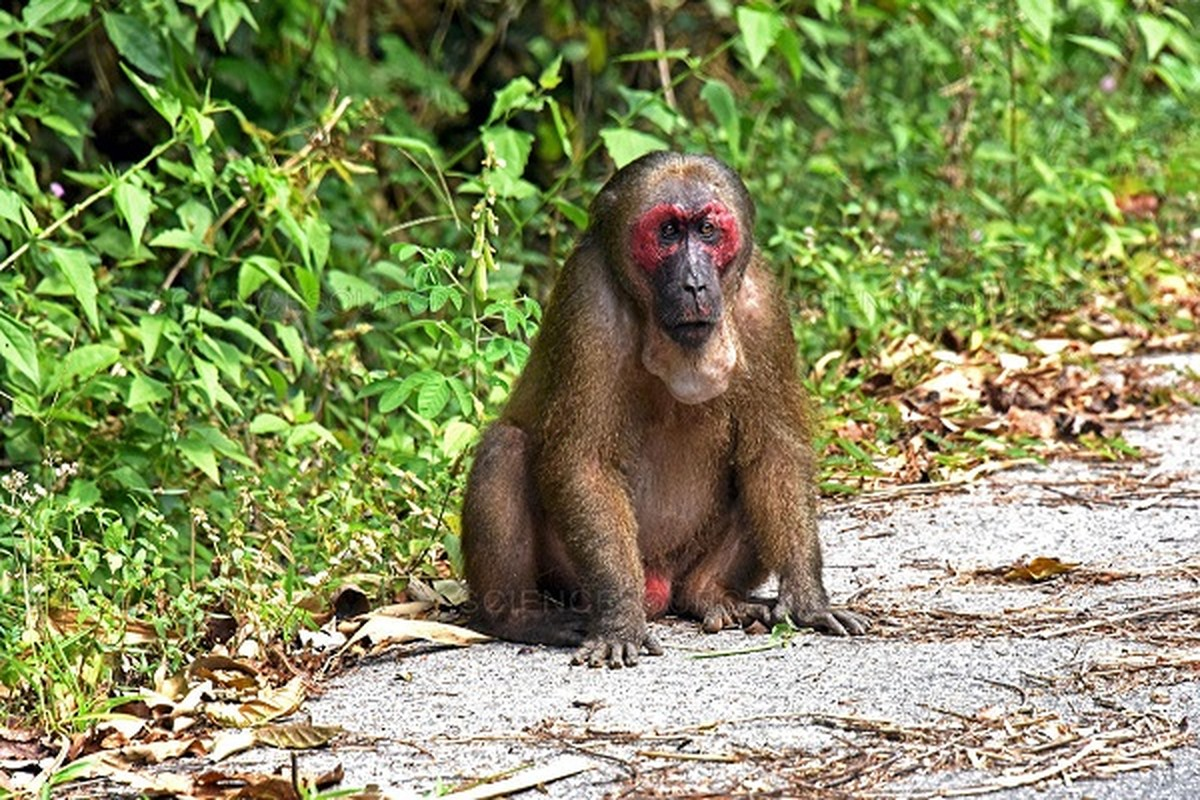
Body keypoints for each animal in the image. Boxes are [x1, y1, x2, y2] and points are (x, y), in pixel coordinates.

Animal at [458, 149, 864, 671]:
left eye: (707, 231)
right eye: (668, 232)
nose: (693, 284)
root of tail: (660, 586)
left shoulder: (763, 303)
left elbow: (775, 453)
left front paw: (809, 599)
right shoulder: (588, 301)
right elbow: (584, 462)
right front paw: (620, 620)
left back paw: (708, 593)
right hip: (571, 576)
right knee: (505, 447)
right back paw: (517, 618)